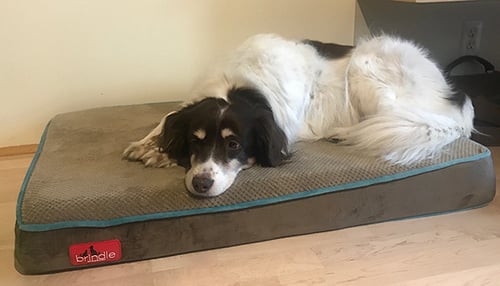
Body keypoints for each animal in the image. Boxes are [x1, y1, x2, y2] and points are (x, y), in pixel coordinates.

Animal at [123, 34, 474, 197]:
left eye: (234, 145)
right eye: (196, 141)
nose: (200, 184)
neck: (241, 88)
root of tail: (454, 97)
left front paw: (160, 152)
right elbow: (169, 115)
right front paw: (153, 145)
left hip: (366, 67)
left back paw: (344, 133)